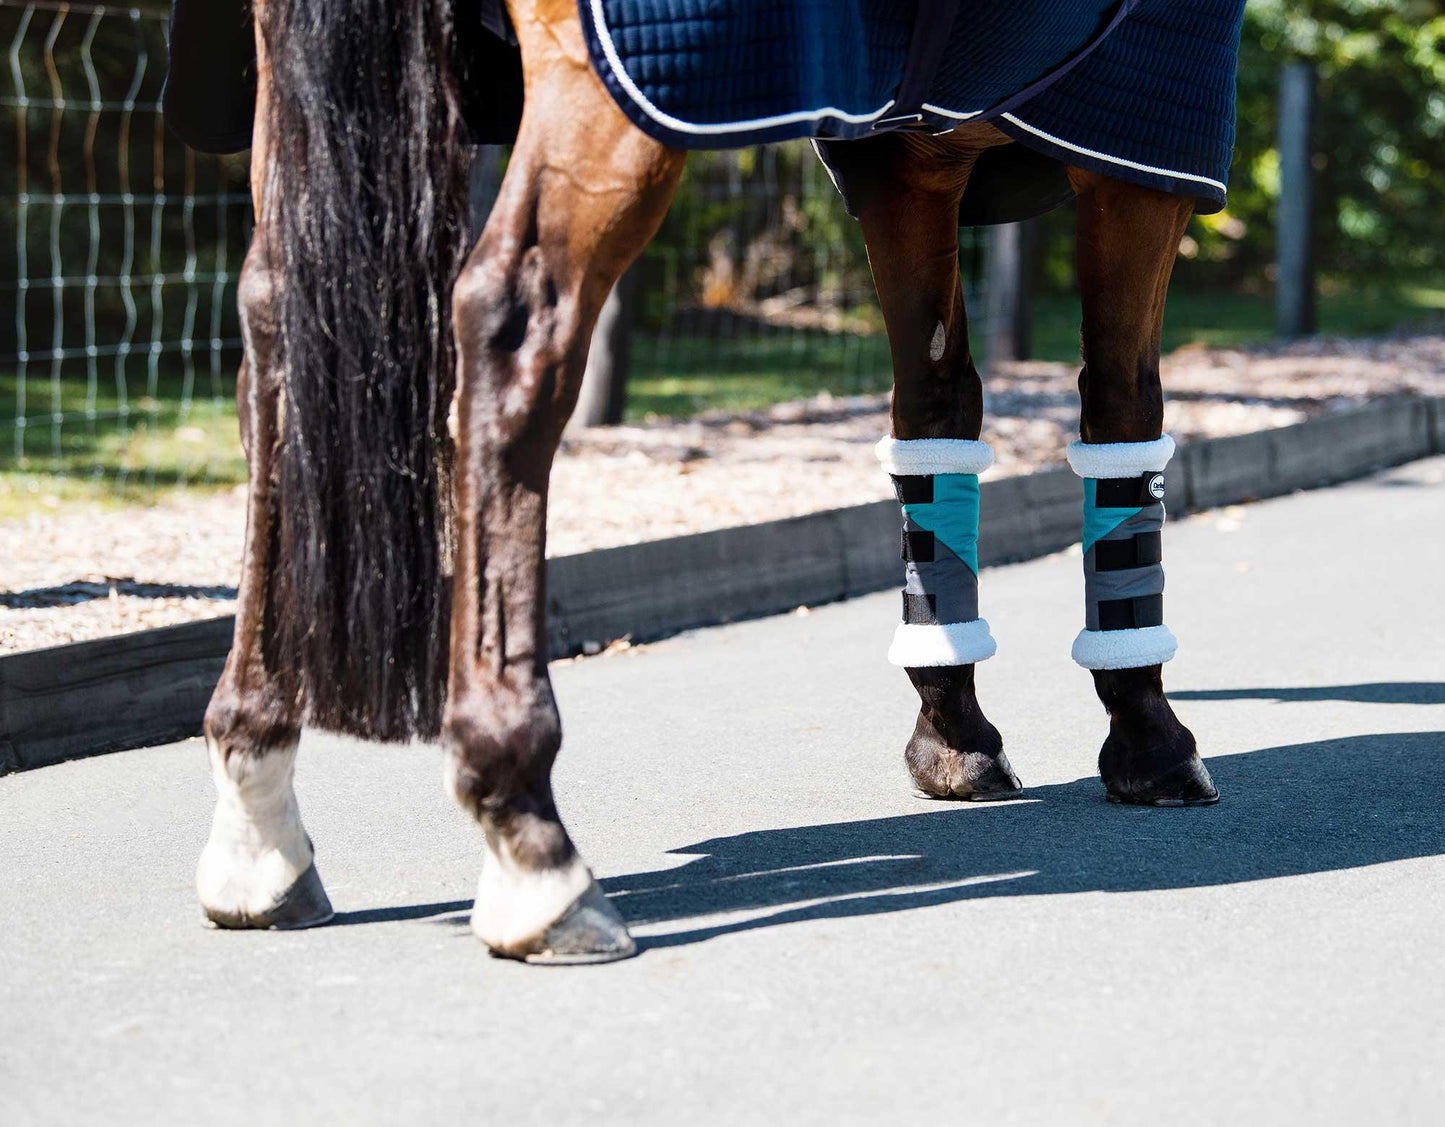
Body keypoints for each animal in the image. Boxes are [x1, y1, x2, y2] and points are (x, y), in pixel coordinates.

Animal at [169, 0, 1248, 965]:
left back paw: (257, 818)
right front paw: (1146, 735)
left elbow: (935, 412)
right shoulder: (1137, 140)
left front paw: (953, 733)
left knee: (276, 320)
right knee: (511, 321)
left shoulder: (908, 159)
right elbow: (1121, 409)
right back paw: (529, 836)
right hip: (613, 105)